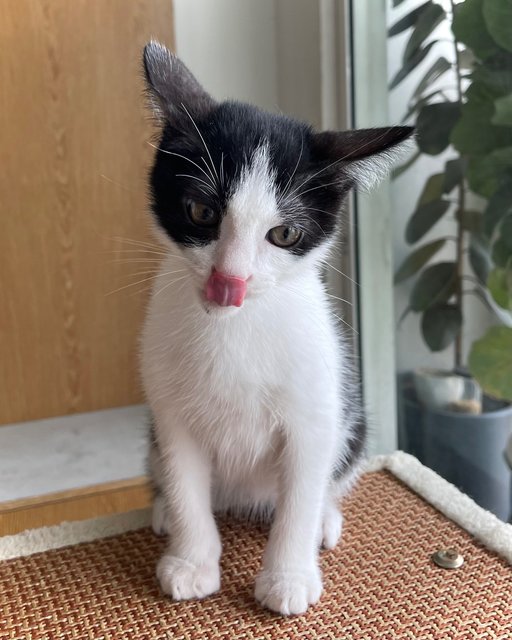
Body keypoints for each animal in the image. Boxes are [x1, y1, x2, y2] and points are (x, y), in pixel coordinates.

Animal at [141, 40, 416, 616]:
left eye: (284, 234)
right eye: (200, 211)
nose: (230, 280)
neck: (234, 327)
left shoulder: (316, 409)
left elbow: (301, 494)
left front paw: (288, 577)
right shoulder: (170, 412)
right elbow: (185, 483)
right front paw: (192, 561)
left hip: (351, 422)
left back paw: (325, 519)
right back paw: (163, 512)